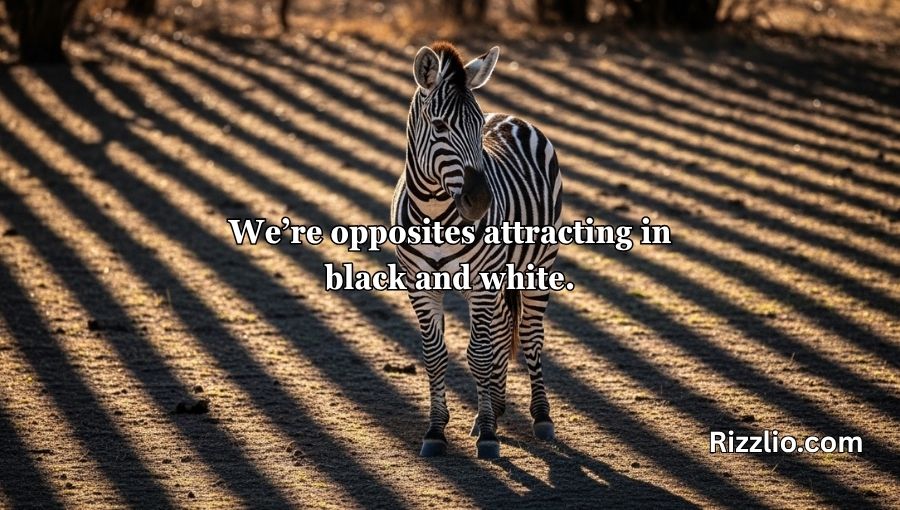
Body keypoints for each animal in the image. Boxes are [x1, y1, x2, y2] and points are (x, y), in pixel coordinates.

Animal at [391, 41, 563, 459]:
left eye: (477, 124)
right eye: (439, 127)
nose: (481, 202)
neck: (435, 212)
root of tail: (512, 117)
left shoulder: (481, 282)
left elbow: (479, 355)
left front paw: (487, 435)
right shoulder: (419, 285)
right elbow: (436, 356)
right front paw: (437, 431)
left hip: (539, 263)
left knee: (530, 334)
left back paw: (540, 416)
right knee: (502, 326)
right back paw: (497, 408)